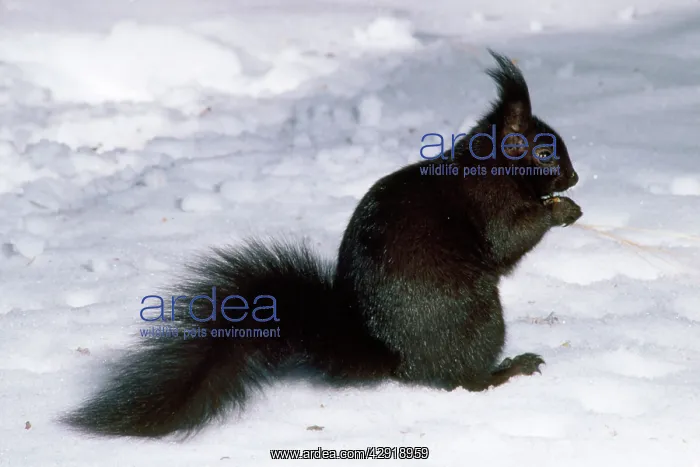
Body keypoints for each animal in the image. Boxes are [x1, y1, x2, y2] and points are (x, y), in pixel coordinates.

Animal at [61, 50, 582, 438]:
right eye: (544, 151)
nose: (574, 178)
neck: (489, 165)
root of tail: (394, 356)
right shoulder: (488, 204)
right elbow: (509, 239)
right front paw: (561, 211)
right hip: (479, 317)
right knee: (463, 381)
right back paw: (508, 370)